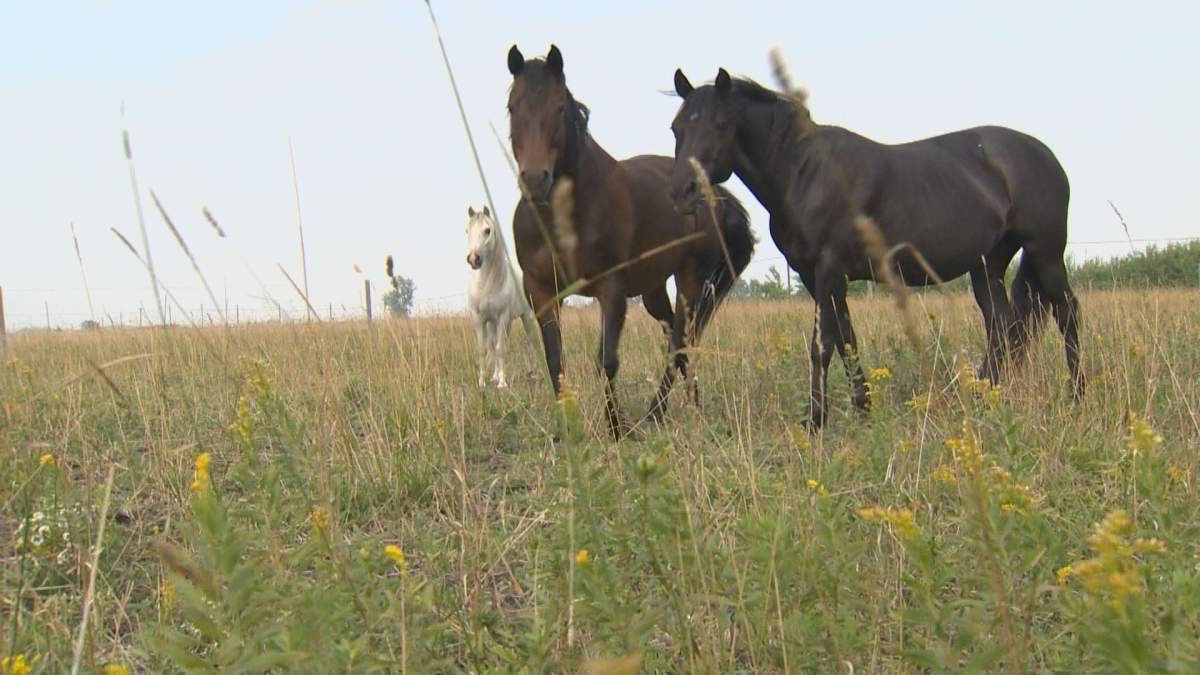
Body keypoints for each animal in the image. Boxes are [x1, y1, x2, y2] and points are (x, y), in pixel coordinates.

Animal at [466, 205, 530, 388]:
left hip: (525, 317)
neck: (487, 284)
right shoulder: (480, 319)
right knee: (494, 343)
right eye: (467, 230)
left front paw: (502, 383)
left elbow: (501, 349)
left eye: (487, 230)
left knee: (530, 342)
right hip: (493, 324)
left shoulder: (502, 317)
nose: (473, 259)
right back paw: (495, 376)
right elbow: (485, 349)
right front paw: (482, 382)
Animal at [506, 45, 755, 437]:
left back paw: (662, 412)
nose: (535, 180)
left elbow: (607, 361)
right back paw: (684, 405)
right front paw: (569, 429)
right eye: (513, 108)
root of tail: (713, 194)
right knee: (677, 338)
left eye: (558, 108)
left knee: (680, 342)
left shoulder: (612, 289)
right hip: (653, 290)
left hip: (690, 279)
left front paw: (617, 427)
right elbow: (555, 362)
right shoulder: (541, 292)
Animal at [669, 67, 1084, 428]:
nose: (682, 192)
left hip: (1045, 252)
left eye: (721, 125)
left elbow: (823, 345)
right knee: (1001, 324)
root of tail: (1043, 154)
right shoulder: (814, 275)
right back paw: (984, 396)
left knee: (1067, 313)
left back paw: (1075, 394)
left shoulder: (829, 269)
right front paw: (862, 407)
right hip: (987, 264)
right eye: (676, 127)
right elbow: (846, 339)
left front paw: (815, 421)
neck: (805, 172)